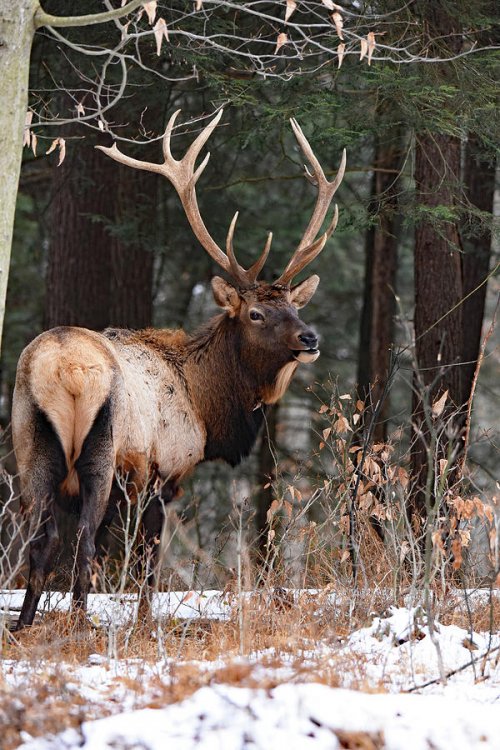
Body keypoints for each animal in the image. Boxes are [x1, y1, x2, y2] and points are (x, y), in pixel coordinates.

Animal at [13, 110, 346, 628]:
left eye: (295, 306)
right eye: (256, 313)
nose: (309, 339)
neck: (205, 406)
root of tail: (64, 369)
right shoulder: (162, 474)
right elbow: (147, 563)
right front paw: (144, 622)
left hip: (29, 445)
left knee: (41, 539)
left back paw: (26, 624)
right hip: (100, 452)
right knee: (82, 540)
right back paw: (79, 625)